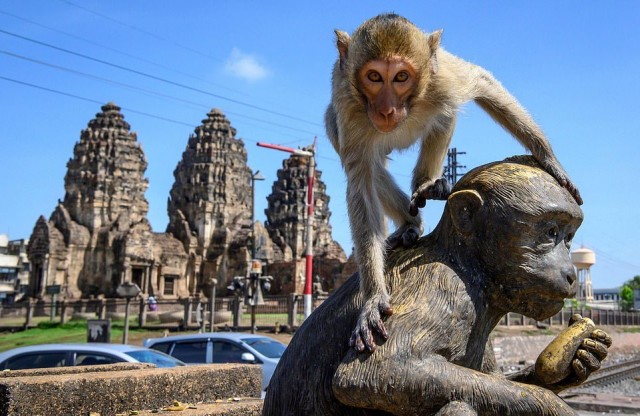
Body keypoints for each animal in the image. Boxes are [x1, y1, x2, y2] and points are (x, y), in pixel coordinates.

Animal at [328, 13, 584, 352]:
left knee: (445, 114)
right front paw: (373, 299)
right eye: (374, 76)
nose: (386, 110)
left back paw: (427, 184)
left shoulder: (443, 81)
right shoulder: (349, 106)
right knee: (366, 162)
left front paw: (550, 159)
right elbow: (361, 182)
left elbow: (482, 82)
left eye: (401, 77)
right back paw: (411, 222)